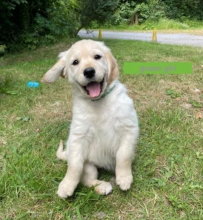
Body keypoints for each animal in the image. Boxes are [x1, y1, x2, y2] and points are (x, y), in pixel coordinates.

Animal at [41, 40, 139, 199]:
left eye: (97, 57)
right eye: (75, 62)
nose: (89, 71)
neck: (98, 102)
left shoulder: (128, 127)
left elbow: (123, 155)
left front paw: (124, 177)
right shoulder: (78, 136)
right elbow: (74, 166)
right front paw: (67, 184)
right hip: (88, 165)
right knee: (87, 179)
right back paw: (102, 186)